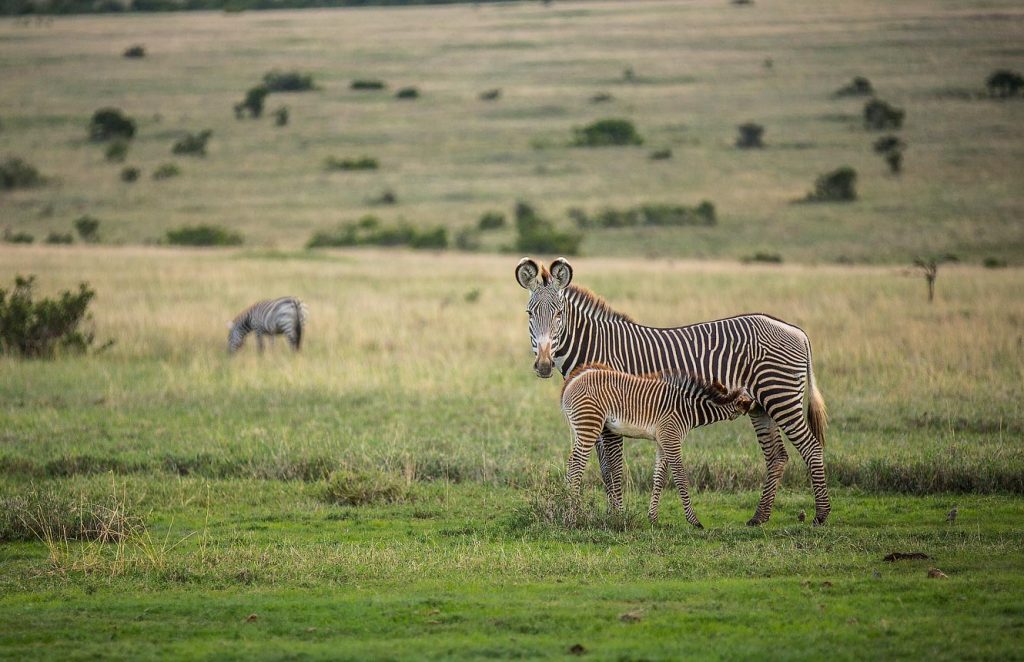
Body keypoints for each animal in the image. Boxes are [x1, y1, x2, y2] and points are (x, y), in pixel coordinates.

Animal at [561, 362, 754, 528]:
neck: (688, 408)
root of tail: (571, 381)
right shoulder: (671, 439)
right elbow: (680, 477)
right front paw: (694, 520)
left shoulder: (663, 441)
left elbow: (659, 477)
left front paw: (653, 518)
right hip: (589, 424)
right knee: (577, 464)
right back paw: (573, 514)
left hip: (583, 427)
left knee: (571, 462)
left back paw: (567, 509)